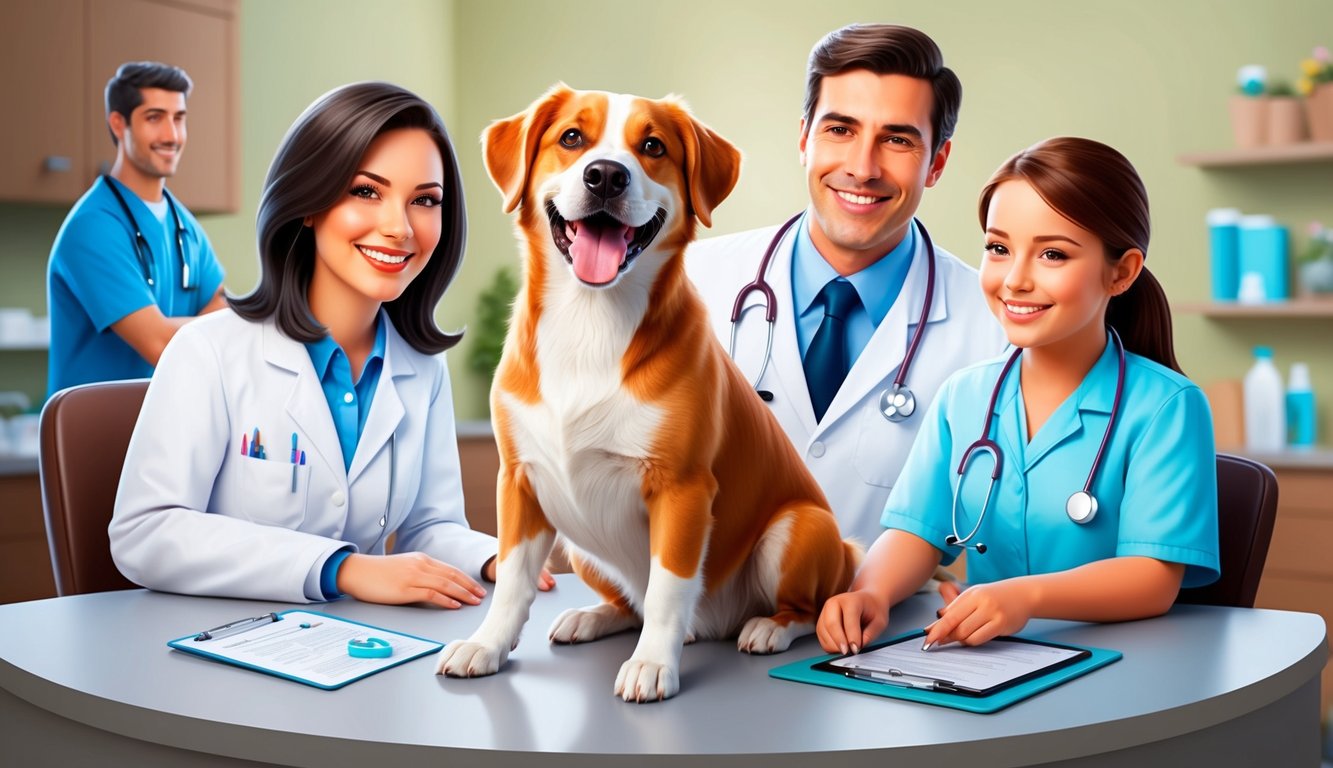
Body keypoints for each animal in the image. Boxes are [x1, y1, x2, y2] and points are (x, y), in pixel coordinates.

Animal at [431, 84, 858, 704]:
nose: (606, 175)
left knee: (804, 606)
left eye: (652, 146)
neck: (589, 320)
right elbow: (510, 577)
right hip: (579, 544)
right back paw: (594, 617)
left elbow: (667, 588)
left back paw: (769, 627)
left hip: (798, 529)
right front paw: (487, 644)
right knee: (626, 601)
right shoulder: (518, 481)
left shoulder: (682, 490)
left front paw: (654, 663)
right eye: (572, 137)